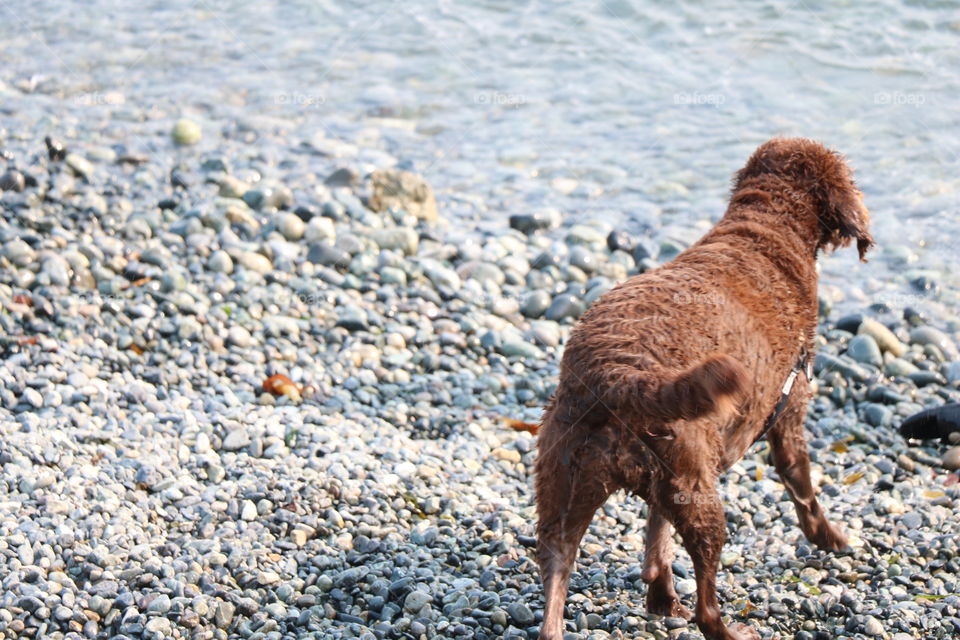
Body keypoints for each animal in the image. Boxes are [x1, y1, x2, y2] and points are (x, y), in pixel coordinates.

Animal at [536, 139, 872, 640]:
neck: (766, 230)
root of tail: (617, 377)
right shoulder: (789, 413)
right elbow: (804, 491)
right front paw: (833, 539)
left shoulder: (666, 484)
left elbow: (656, 539)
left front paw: (659, 595)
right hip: (699, 490)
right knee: (707, 608)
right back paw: (733, 629)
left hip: (568, 481)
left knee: (557, 566)